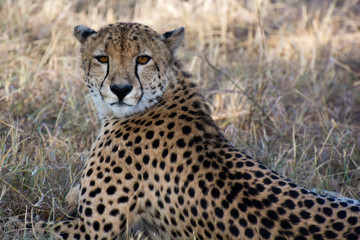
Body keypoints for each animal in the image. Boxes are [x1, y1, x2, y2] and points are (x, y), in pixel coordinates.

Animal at [3, 22, 360, 238]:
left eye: (143, 59)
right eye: (102, 58)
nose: (120, 89)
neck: (162, 95)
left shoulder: (94, 230)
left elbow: (27, 224)